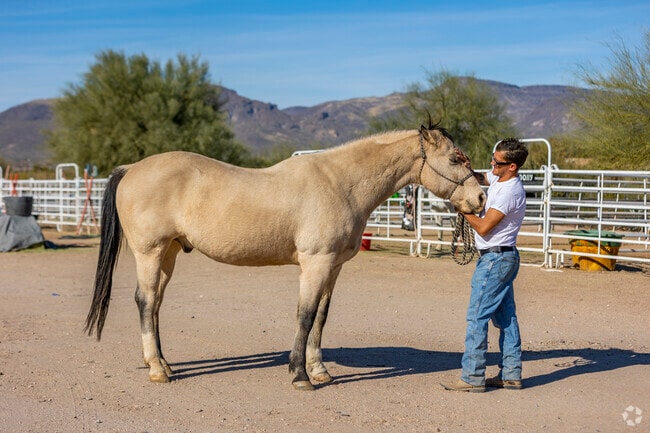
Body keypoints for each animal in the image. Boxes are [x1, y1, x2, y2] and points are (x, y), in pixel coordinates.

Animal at [84, 123, 486, 391]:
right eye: (456, 158)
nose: (480, 198)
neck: (340, 183)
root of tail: (130, 169)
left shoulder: (333, 267)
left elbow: (321, 318)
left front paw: (320, 371)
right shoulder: (315, 263)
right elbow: (305, 316)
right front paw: (300, 376)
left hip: (168, 254)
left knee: (154, 304)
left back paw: (165, 365)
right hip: (150, 253)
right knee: (145, 301)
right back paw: (156, 369)